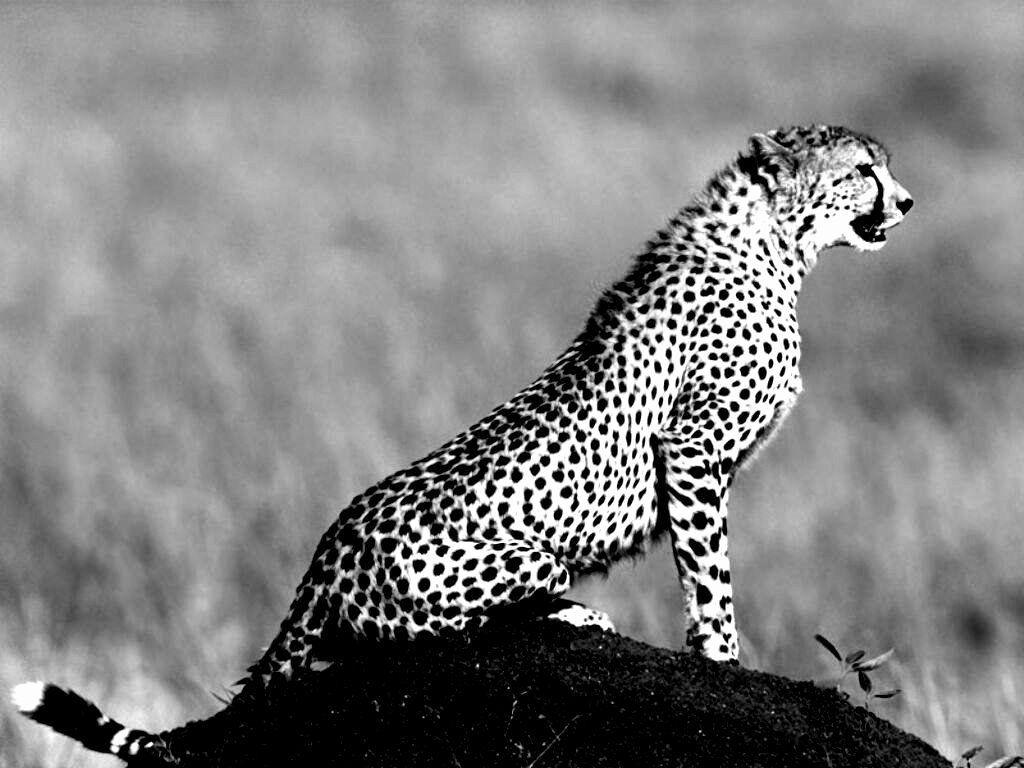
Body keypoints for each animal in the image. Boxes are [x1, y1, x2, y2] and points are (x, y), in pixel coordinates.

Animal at [13, 124, 912, 762]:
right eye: (862, 169)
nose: (906, 202)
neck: (774, 246)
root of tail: (328, 548)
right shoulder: (691, 449)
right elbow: (711, 575)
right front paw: (726, 663)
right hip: (511, 565)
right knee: (428, 635)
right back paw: (574, 612)